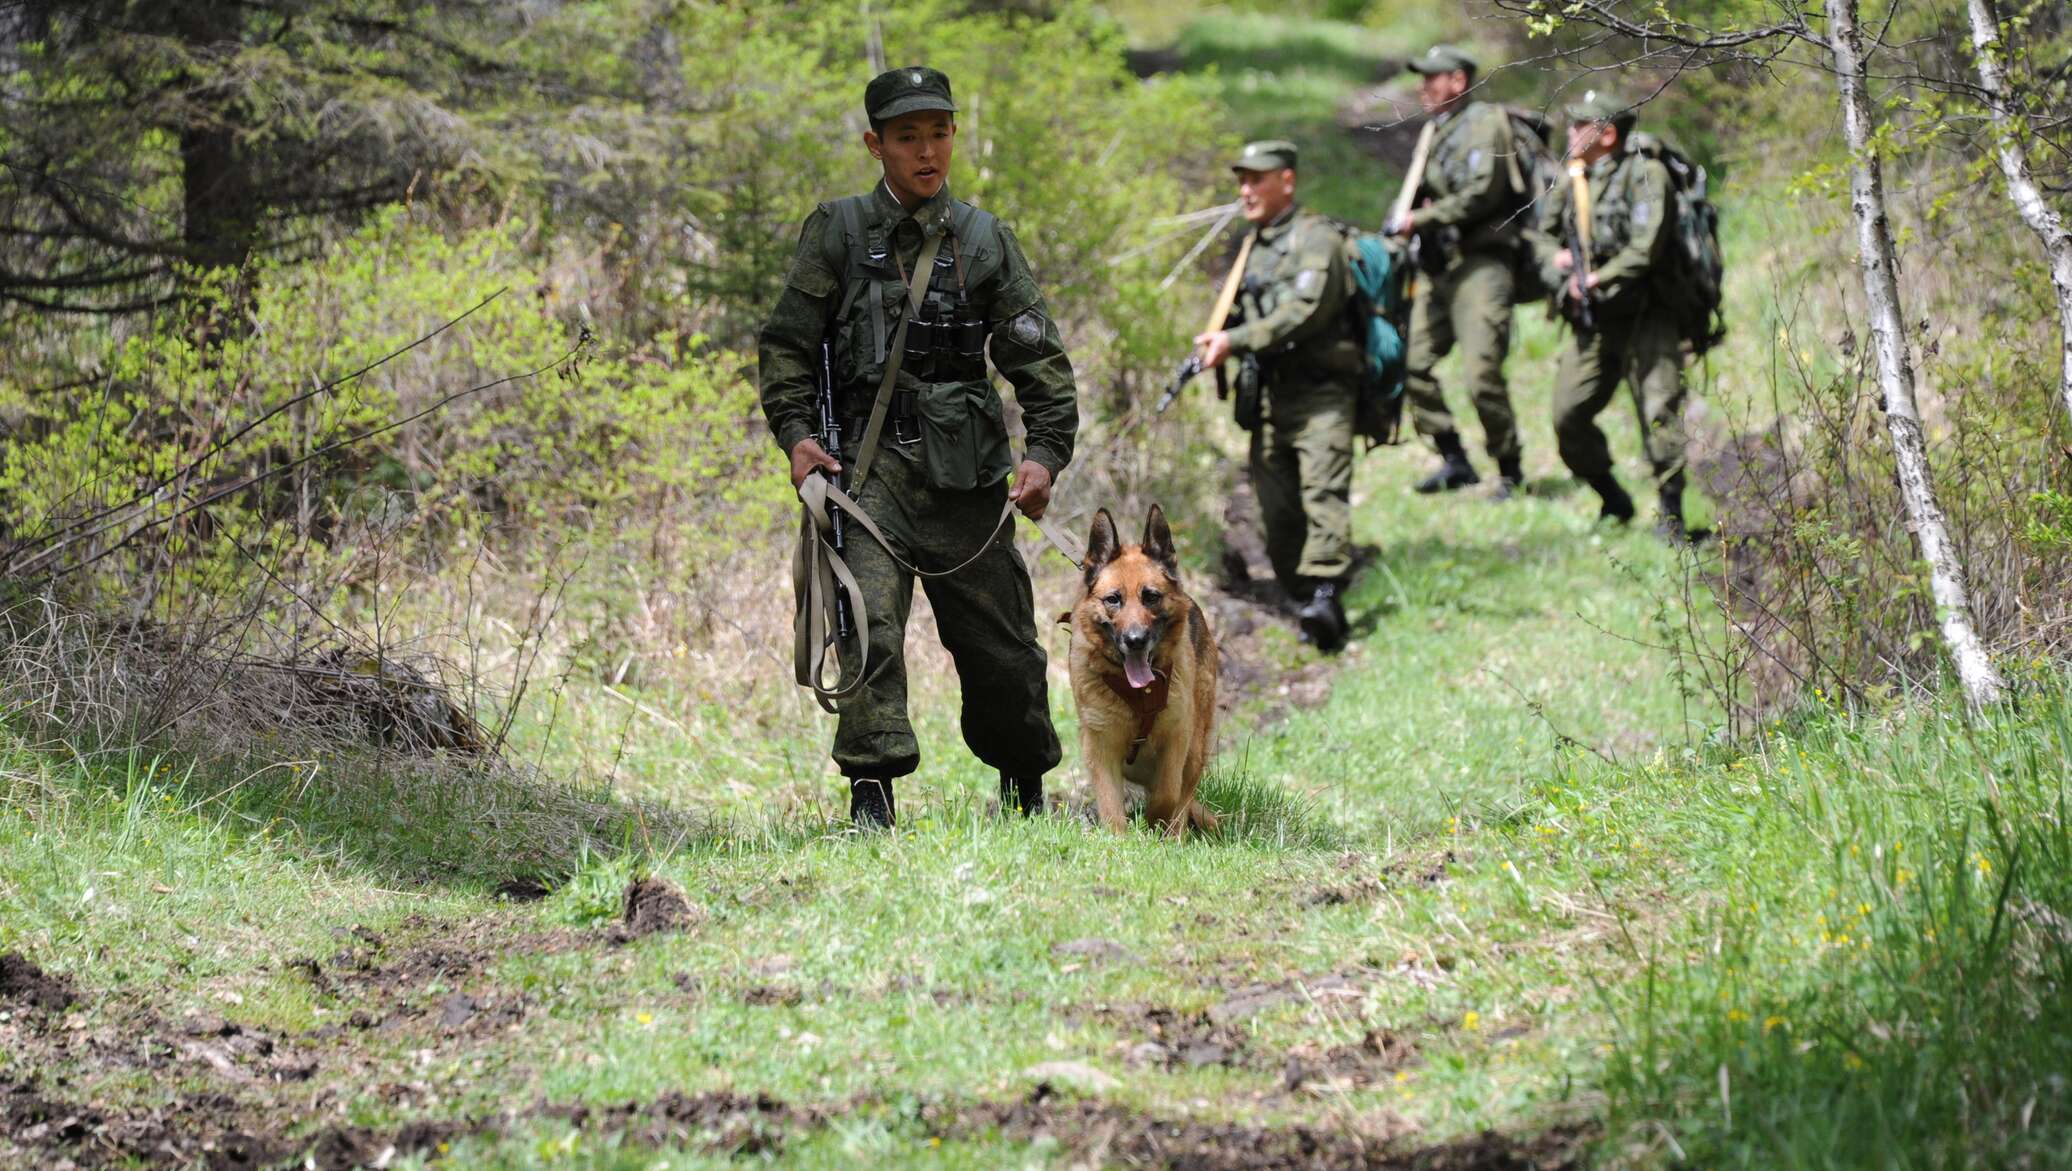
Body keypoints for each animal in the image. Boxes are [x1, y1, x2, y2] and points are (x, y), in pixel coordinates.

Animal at [1069, 507, 1210, 837]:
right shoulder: (1100, 748)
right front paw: (1120, 841)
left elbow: (1167, 794)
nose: (1135, 641)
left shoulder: (1176, 739)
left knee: (1183, 798)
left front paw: (1155, 821)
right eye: (1113, 599)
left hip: (1196, 749)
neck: (1139, 693)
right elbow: (1111, 807)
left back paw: (1173, 836)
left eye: (1151, 597)